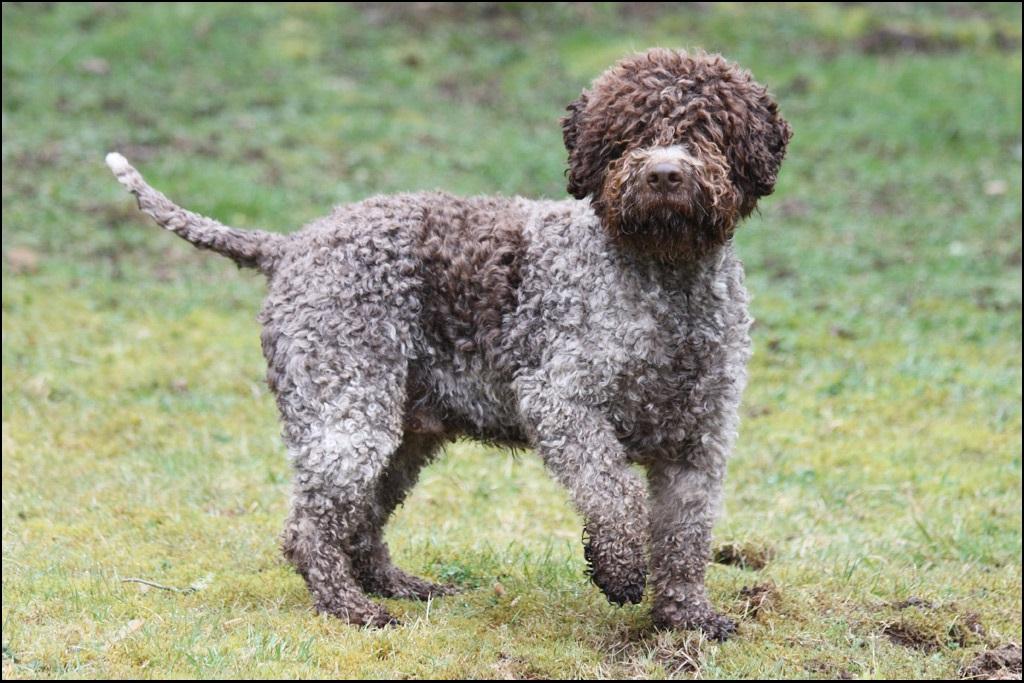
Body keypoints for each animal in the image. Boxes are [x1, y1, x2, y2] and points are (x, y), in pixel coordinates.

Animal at [103, 49, 790, 643]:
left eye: (707, 131)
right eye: (631, 134)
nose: (665, 174)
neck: (666, 282)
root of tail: (292, 245)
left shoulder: (699, 440)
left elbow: (685, 540)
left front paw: (687, 618)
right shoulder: (561, 404)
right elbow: (614, 493)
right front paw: (619, 571)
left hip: (402, 433)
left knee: (361, 521)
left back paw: (397, 586)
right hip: (348, 411)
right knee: (309, 527)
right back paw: (350, 608)